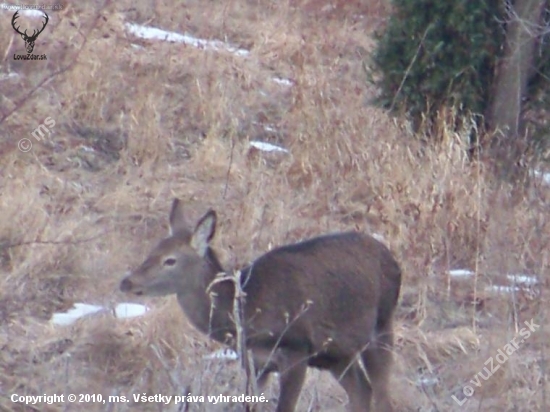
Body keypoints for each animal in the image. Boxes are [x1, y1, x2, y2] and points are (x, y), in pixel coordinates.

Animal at [119, 198, 402, 410]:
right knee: (362, 389)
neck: (246, 312)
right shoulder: (255, 363)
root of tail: (392, 259)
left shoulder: (296, 350)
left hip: (381, 325)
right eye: (152, 251)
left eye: (170, 260)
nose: (126, 281)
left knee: (382, 394)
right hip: (335, 354)